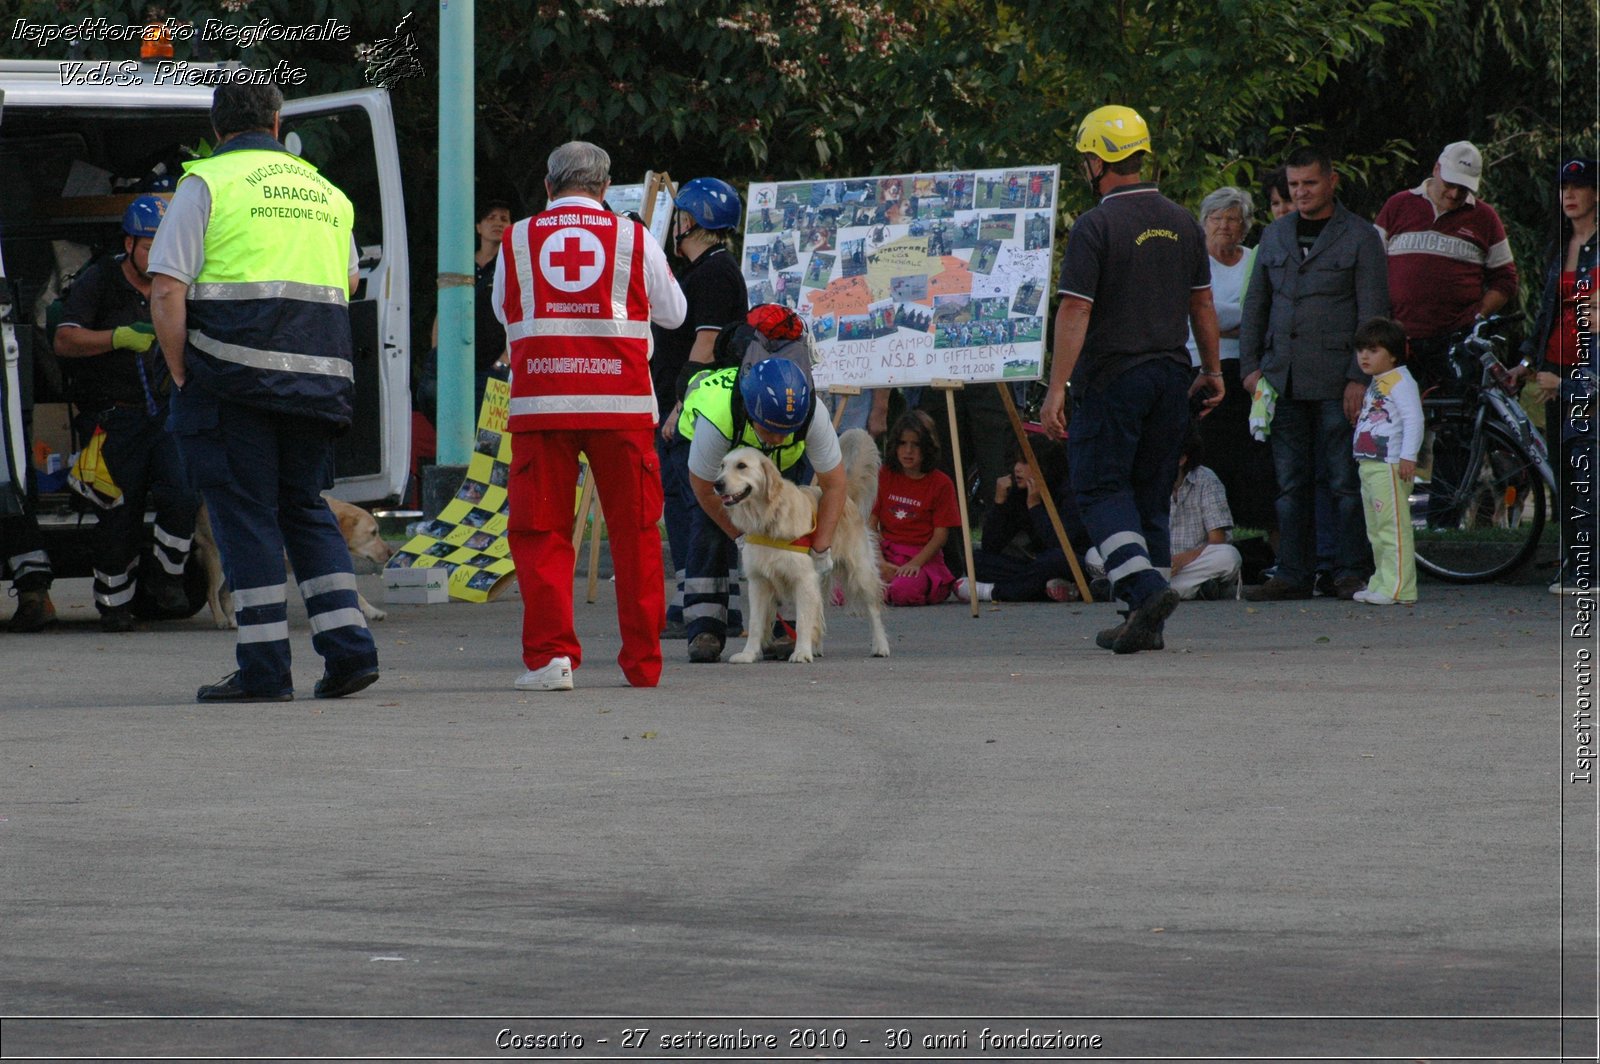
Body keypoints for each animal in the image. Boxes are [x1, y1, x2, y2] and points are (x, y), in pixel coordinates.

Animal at [720, 425, 896, 659]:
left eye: (742, 466)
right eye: (722, 466)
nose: (717, 484)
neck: (769, 518)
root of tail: (845, 497)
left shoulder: (803, 578)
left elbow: (803, 620)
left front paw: (801, 653)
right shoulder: (758, 581)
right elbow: (756, 623)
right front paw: (748, 654)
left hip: (860, 571)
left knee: (873, 609)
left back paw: (881, 645)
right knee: (819, 612)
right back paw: (817, 647)